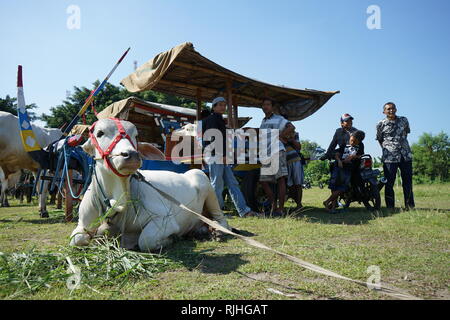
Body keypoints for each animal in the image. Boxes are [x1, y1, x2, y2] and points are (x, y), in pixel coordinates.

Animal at [72, 119, 232, 251]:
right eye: (100, 133)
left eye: (136, 136)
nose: (131, 155)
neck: (116, 199)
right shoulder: (82, 223)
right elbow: (77, 239)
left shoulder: (165, 219)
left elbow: (145, 240)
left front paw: (170, 239)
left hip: (206, 185)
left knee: (221, 219)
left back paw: (217, 231)